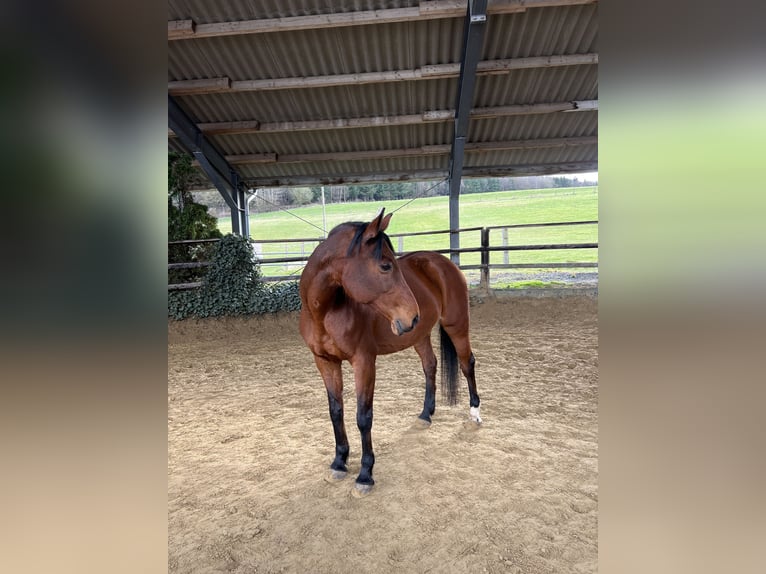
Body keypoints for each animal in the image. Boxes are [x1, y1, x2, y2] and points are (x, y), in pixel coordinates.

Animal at [299, 208, 481, 496]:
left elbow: (363, 416)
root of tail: (443, 263)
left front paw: (365, 475)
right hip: (419, 335)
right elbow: (335, 411)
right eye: (385, 265)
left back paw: (474, 414)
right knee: (430, 365)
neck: (325, 313)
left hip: (457, 326)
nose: (412, 315)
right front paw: (339, 462)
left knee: (467, 364)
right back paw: (425, 415)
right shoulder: (325, 362)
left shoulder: (364, 362)